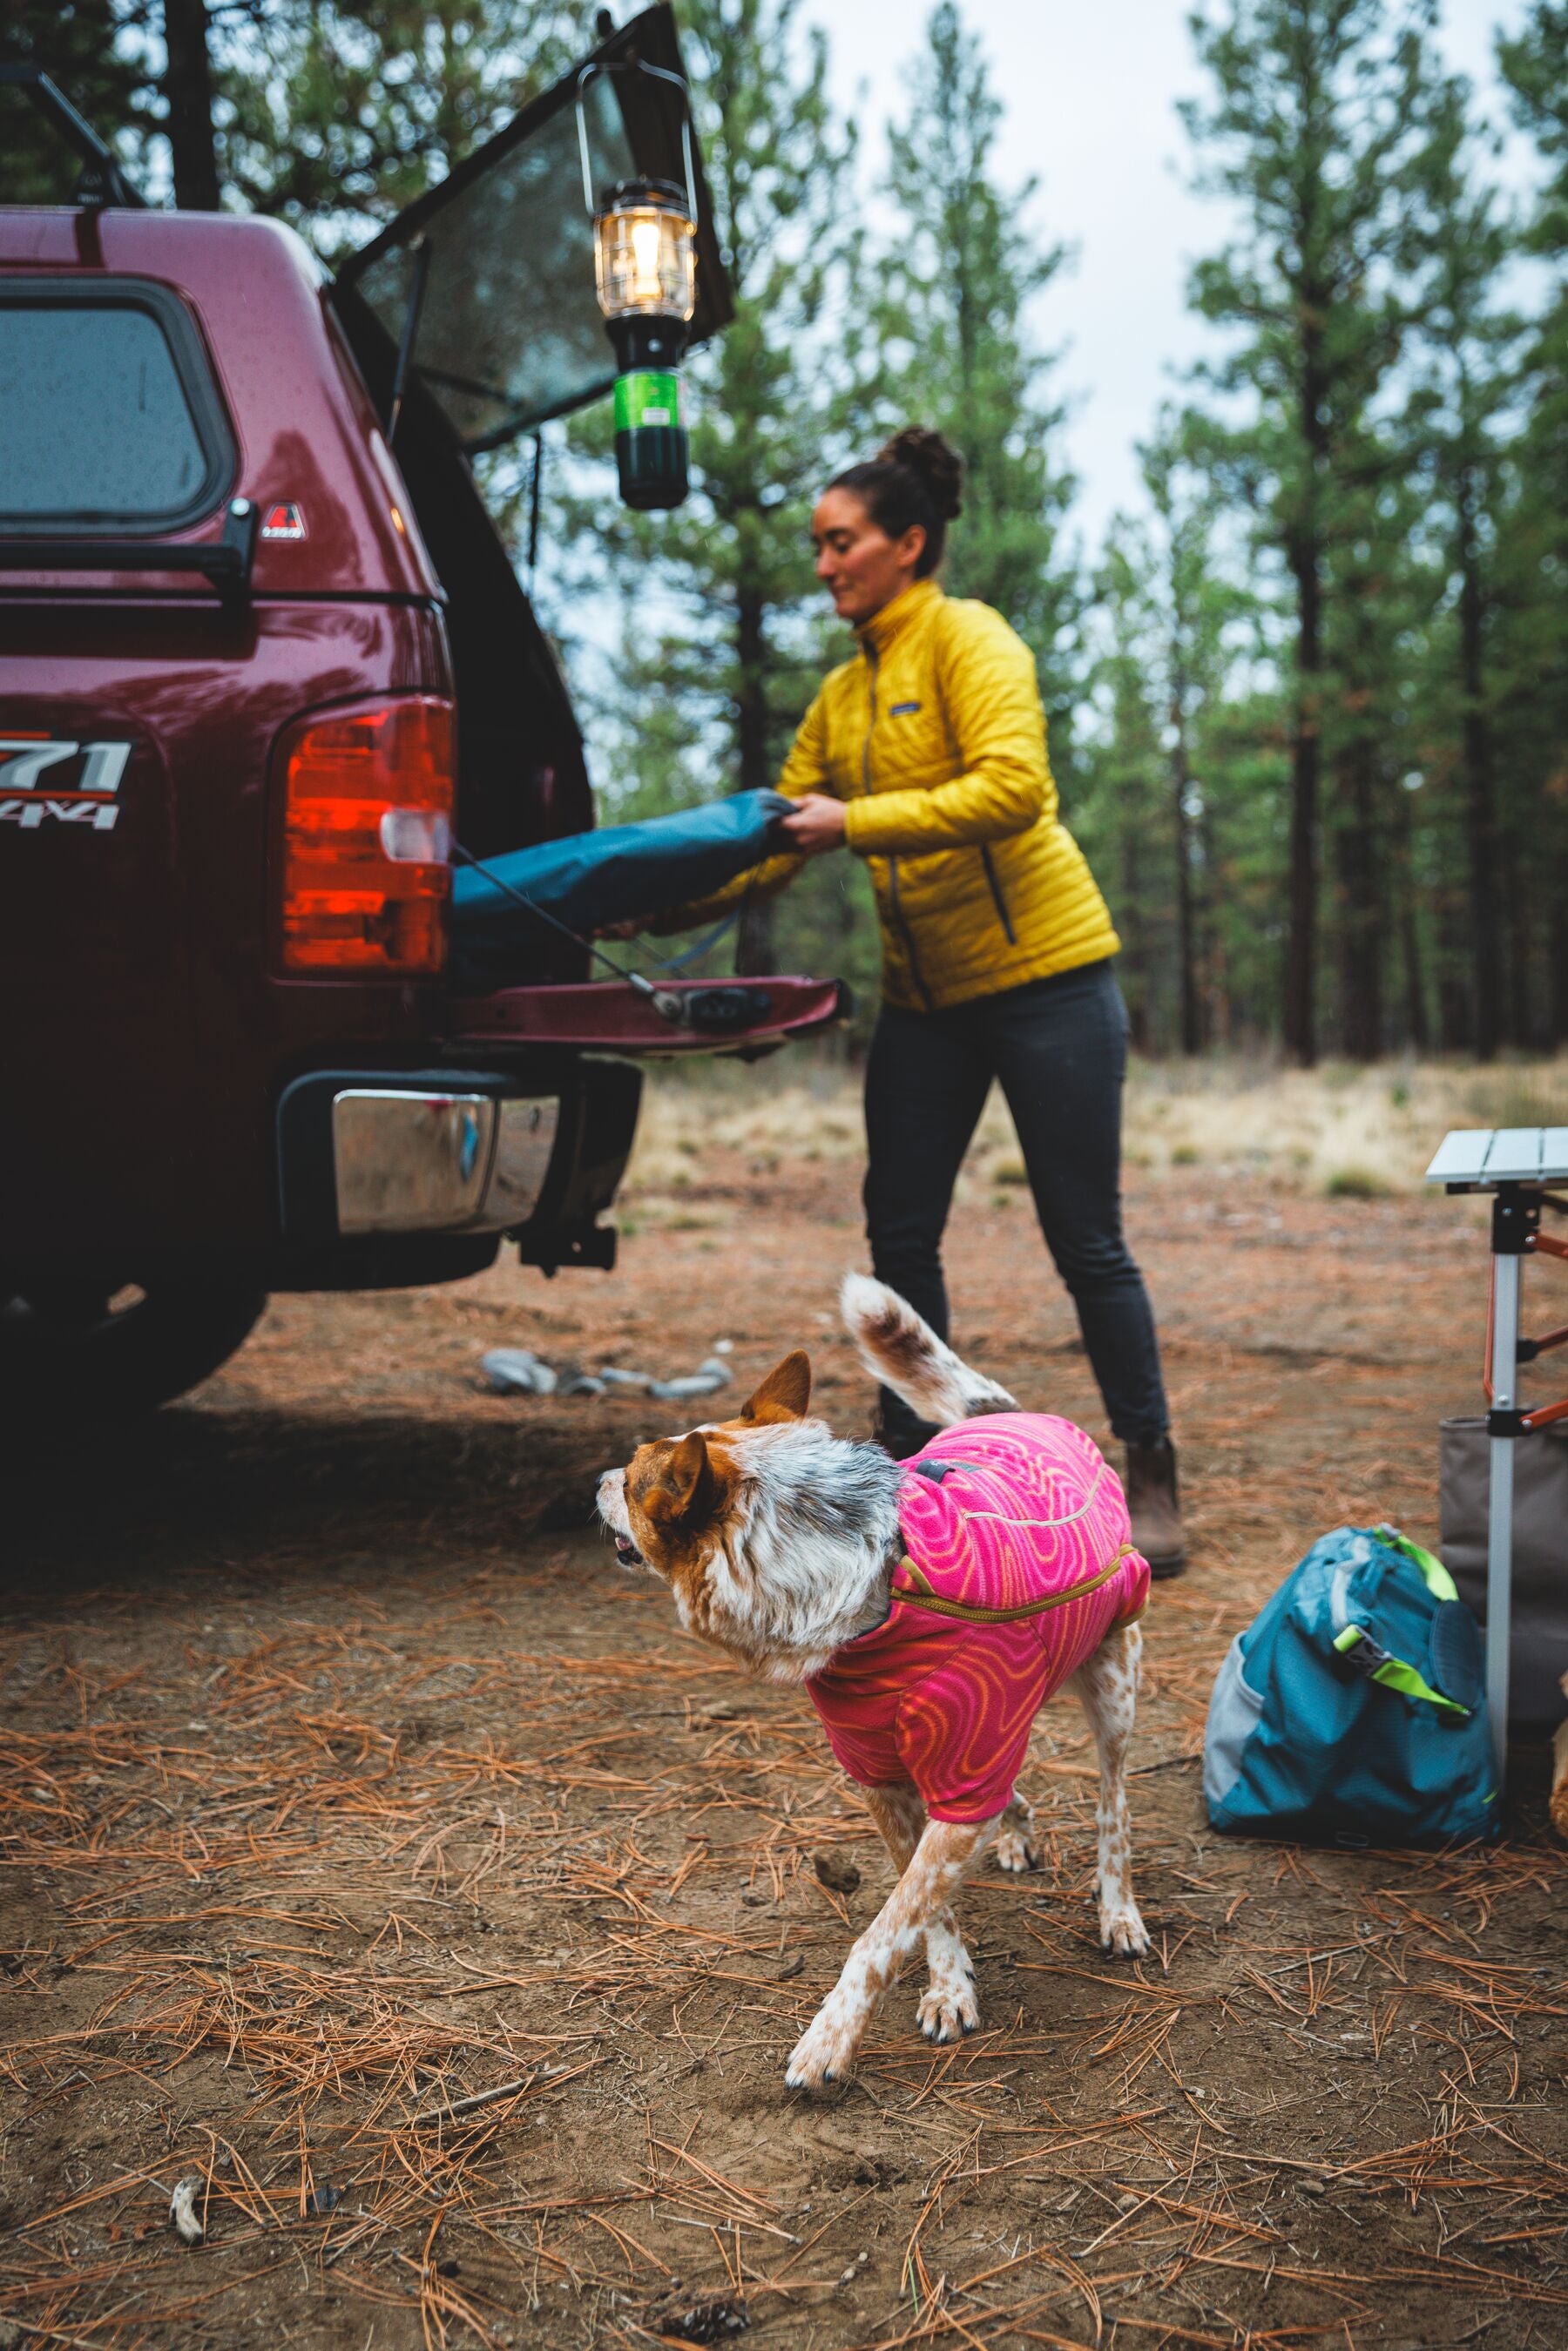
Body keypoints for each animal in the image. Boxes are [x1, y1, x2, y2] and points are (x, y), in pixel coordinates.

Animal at [601, 1279, 1152, 2087]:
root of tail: (1006, 1410)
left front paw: (830, 2038)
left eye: (635, 1478)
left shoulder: (961, 1775)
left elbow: (886, 1929)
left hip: (1114, 1682)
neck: (880, 1579)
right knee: (1015, 1791)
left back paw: (1119, 1910)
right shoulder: (886, 1778)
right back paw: (1017, 1832)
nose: (598, 1479)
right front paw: (950, 1986)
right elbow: (928, 1910)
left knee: (1114, 1809)